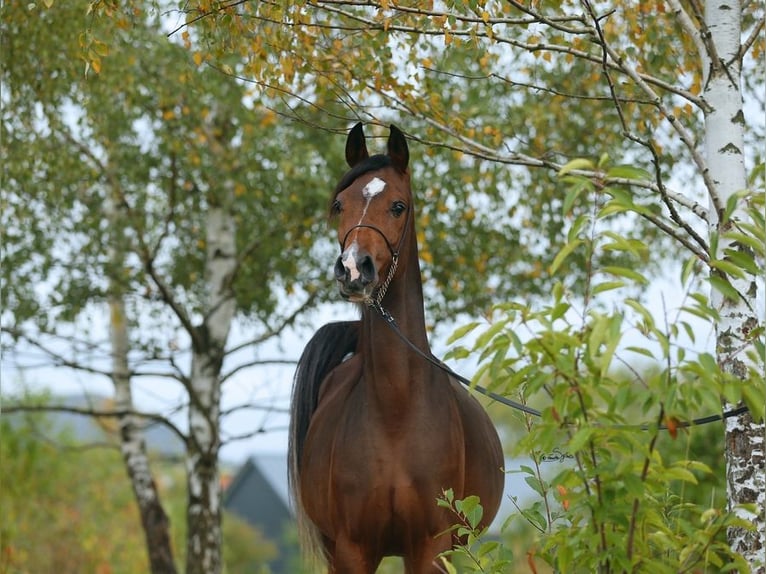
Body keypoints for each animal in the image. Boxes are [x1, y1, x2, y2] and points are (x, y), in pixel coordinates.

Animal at [288, 124, 504, 572]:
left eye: (398, 206)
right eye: (339, 204)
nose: (353, 269)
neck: (396, 413)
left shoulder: (431, 548)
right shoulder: (353, 549)